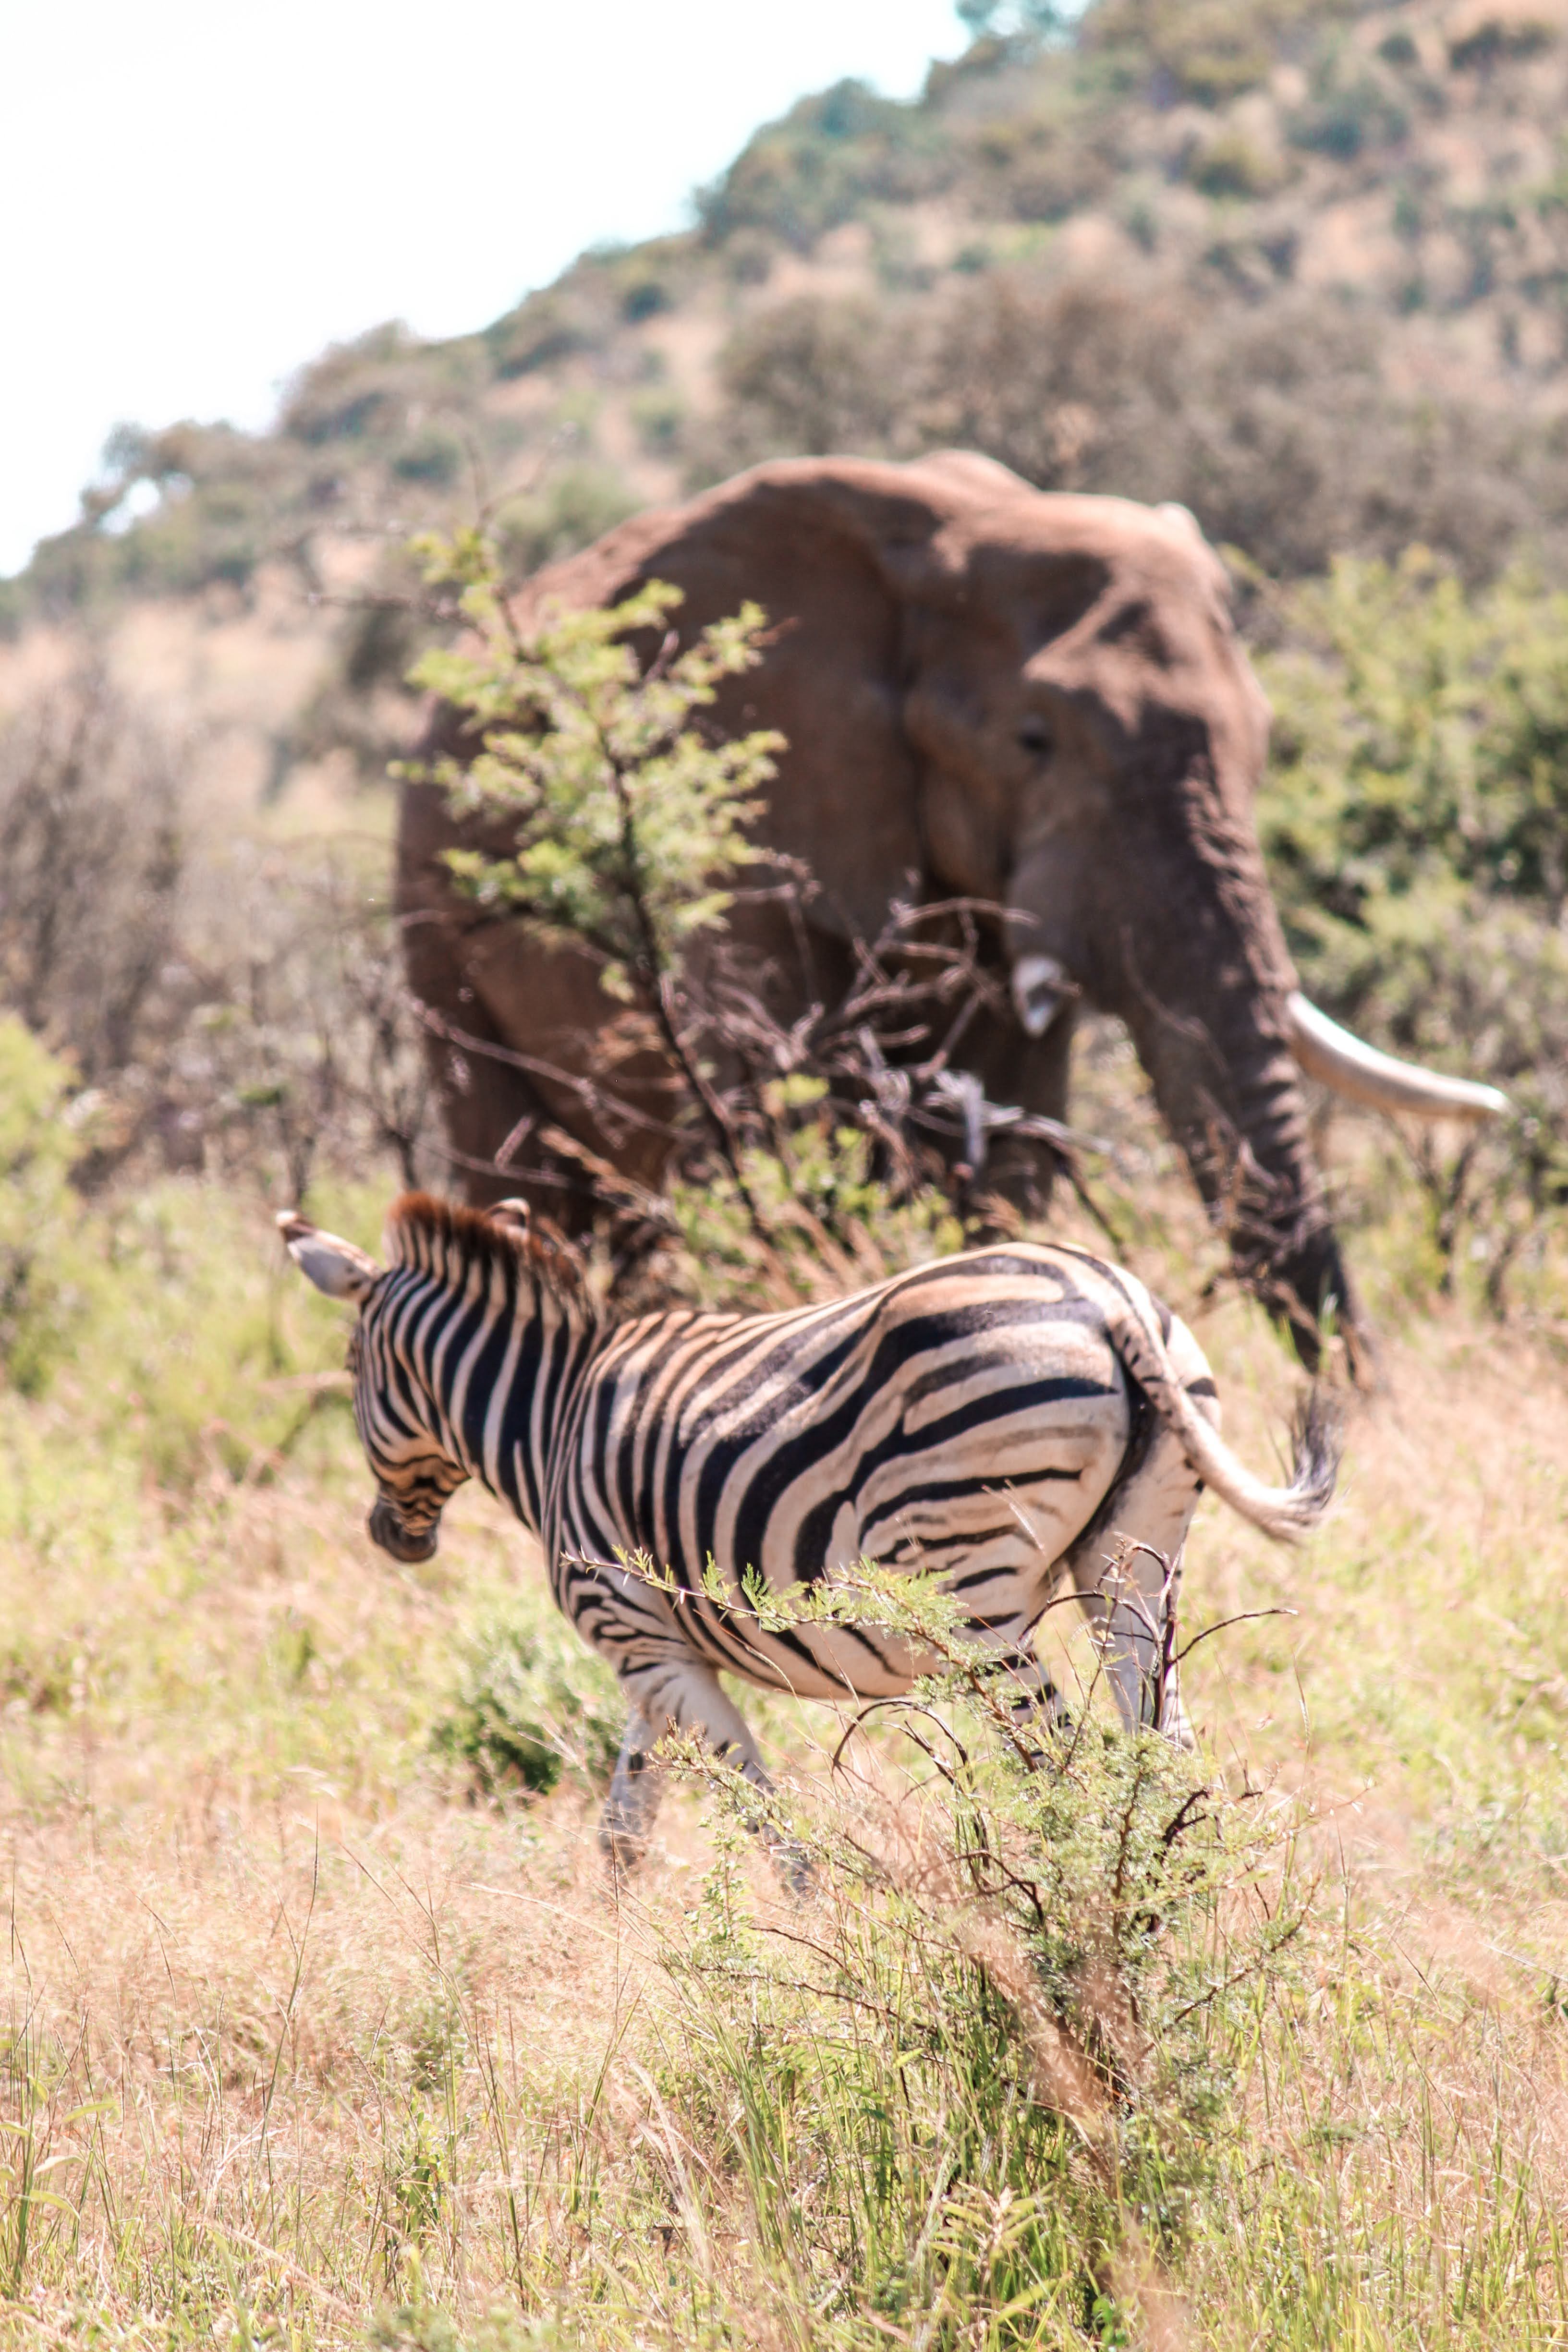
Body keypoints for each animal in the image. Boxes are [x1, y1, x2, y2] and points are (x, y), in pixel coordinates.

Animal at [279, 1192, 1337, 1866]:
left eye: (350, 1369)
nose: (392, 1538)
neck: (552, 1415)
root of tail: (1109, 1298)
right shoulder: (655, 1657)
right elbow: (626, 1822)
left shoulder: (636, 1639)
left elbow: (759, 1815)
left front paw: (797, 1940)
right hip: (1134, 1563)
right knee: (1166, 1757)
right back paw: (1168, 1911)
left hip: (974, 1592)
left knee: (1061, 1776)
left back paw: (1082, 1944)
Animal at [397, 451, 1504, 1369]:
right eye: (1033, 740)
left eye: (1263, 741)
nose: (1369, 1407)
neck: (959, 541)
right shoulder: (743, 818)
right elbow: (781, 1124)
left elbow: (1011, 1155)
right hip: (432, 912)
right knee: (521, 1170)